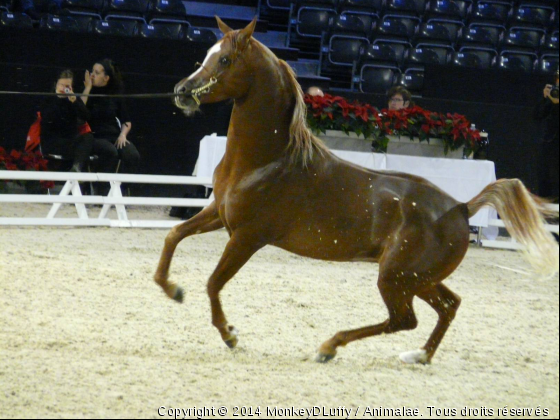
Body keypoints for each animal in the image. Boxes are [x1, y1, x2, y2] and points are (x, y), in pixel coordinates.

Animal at [155, 16, 556, 364]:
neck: (264, 161)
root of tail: (460, 208)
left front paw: (229, 334)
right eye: (206, 55)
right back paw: (418, 356)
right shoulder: (217, 215)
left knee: (404, 319)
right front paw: (173, 289)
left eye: (224, 59)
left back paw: (329, 347)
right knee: (448, 305)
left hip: (396, 277)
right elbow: (173, 235)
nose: (181, 92)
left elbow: (212, 283)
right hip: (418, 279)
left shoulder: (247, 237)